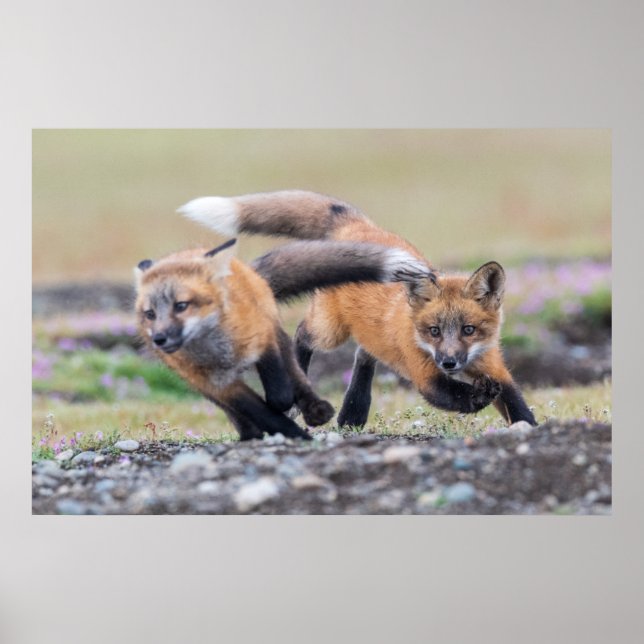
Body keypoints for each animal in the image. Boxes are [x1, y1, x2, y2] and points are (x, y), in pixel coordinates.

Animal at [134, 237, 432, 440]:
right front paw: (290, 433)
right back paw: (251, 434)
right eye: (150, 314)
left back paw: (315, 409)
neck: (218, 351)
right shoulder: (218, 384)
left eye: (181, 306)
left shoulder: (264, 339)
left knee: (297, 366)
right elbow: (257, 411)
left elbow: (279, 391)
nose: (159, 338)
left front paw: (290, 411)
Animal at [178, 190, 537, 428]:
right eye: (433, 331)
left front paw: (529, 428)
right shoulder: (425, 374)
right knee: (303, 335)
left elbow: (515, 402)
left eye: (468, 330)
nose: (449, 361)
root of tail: (357, 226)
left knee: (365, 355)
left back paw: (353, 413)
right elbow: (455, 396)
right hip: (329, 331)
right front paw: (478, 398)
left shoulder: (493, 365)